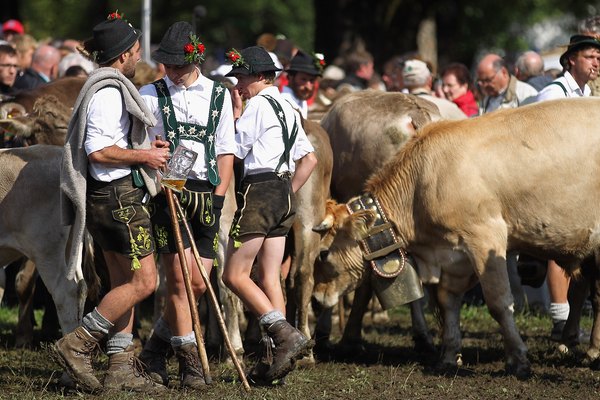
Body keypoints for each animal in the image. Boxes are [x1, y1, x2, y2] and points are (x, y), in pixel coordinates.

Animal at [314, 97, 600, 378]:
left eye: (323, 253)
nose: (316, 299)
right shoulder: (452, 256)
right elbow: (447, 301)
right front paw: (449, 356)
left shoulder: (486, 239)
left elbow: (498, 302)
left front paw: (518, 359)